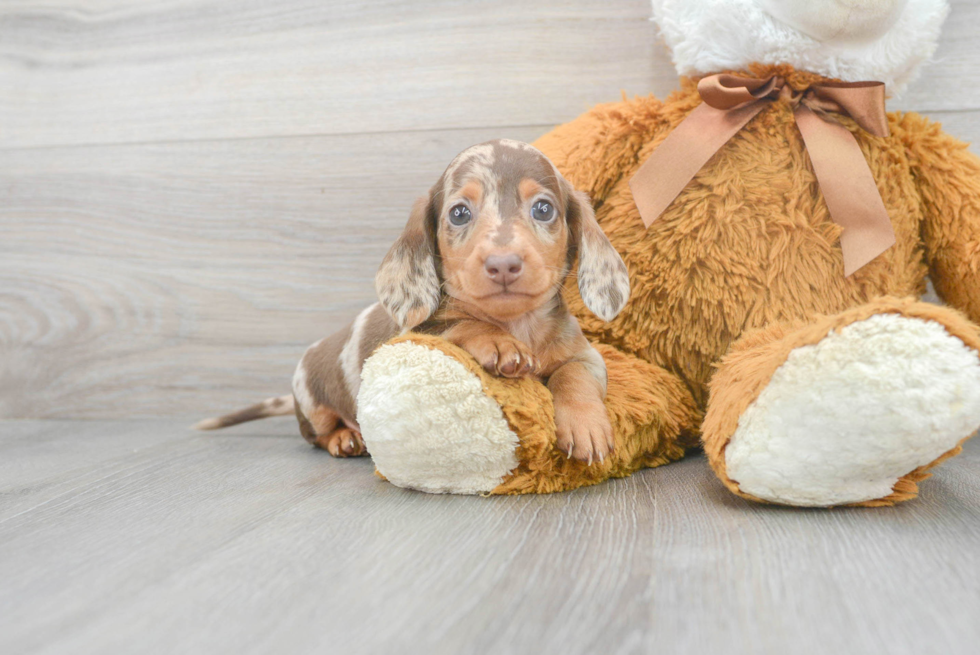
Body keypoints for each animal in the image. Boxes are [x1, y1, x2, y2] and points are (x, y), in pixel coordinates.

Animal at [198, 141, 628, 464]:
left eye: (543, 208)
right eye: (459, 213)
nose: (503, 263)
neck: (517, 323)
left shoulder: (587, 358)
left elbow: (573, 376)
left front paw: (586, 426)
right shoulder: (417, 333)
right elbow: (462, 323)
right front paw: (497, 342)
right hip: (312, 403)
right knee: (315, 434)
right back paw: (343, 439)